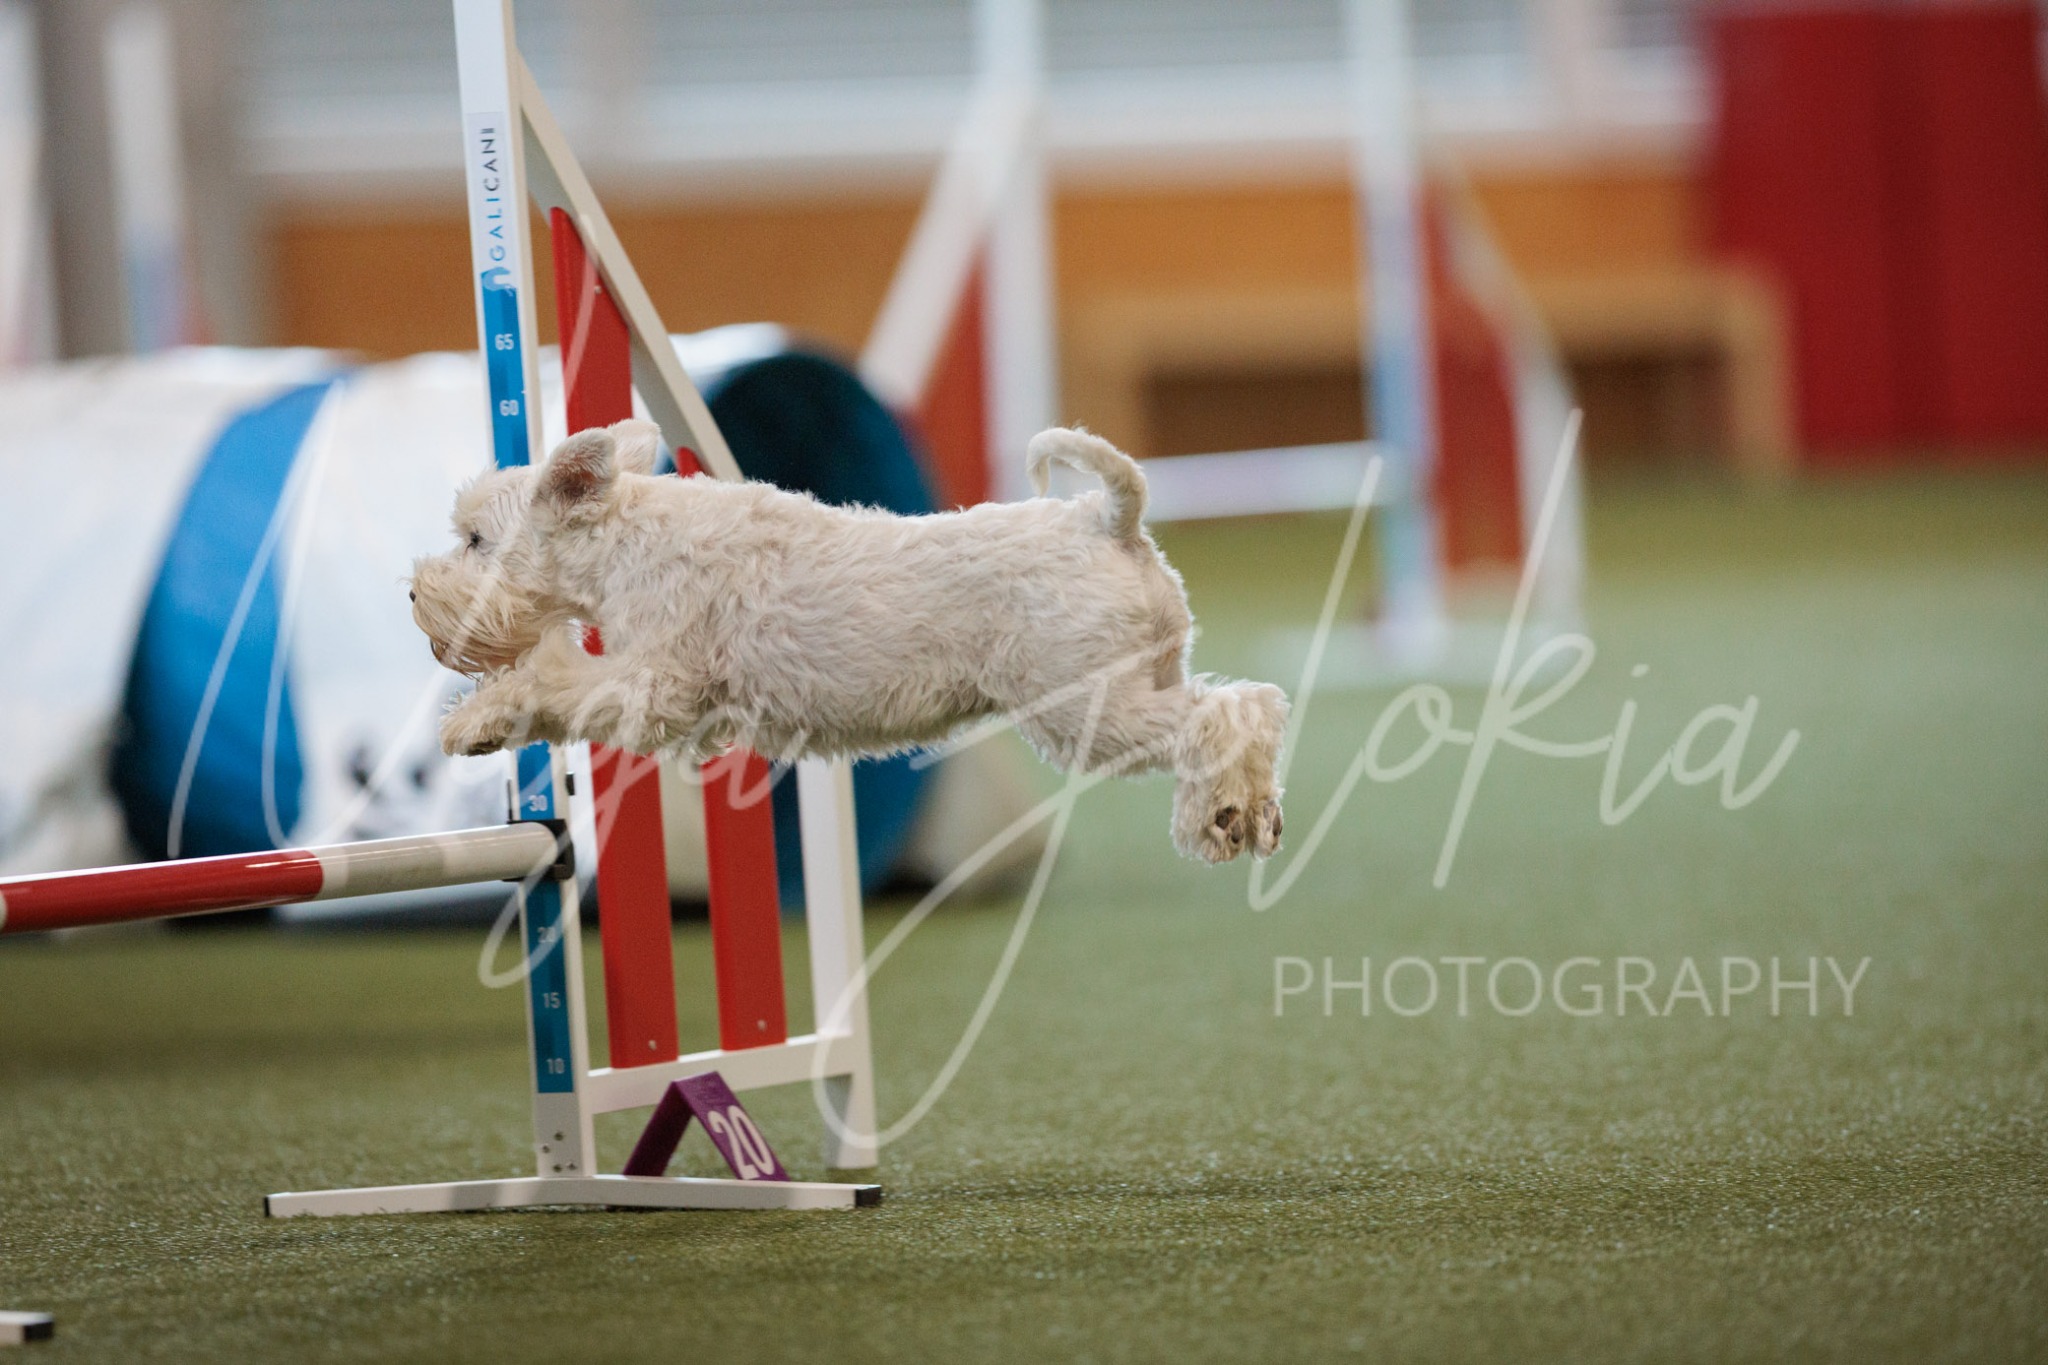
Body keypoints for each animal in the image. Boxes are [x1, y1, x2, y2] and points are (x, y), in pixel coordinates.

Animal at [410, 420, 1287, 862]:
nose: (416, 594)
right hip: (1140, 682)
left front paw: (475, 722)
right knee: (1241, 710)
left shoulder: (654, 684)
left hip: (1088, 712)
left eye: (477, 540)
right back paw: (1252, 814)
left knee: (1226, 715)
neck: (630, 537)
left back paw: (1220, 817)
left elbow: (554, 681)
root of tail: (1109, 517)